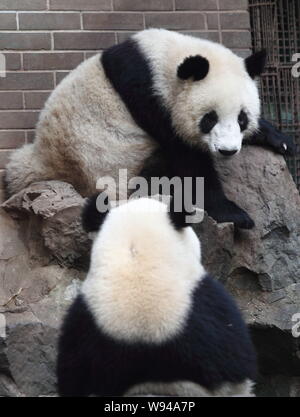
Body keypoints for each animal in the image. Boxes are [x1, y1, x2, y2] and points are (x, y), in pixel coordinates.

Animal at [4, 30, 296, 228]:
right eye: (209, 119)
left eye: (242, 118)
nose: (227, 150)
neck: (163, 61)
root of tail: (49, 164)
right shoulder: (148, 96)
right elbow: (188, 160)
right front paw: (234, 213)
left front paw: (280, 140)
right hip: (114, 167)